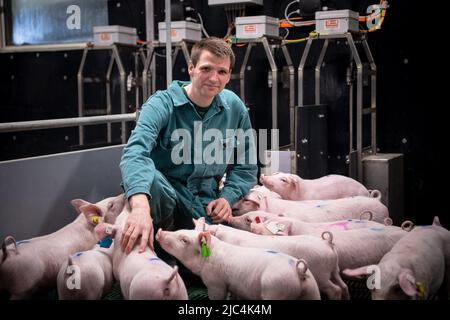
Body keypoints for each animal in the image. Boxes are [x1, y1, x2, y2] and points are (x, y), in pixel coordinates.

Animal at [156, 228, 322, 300]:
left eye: (184, 240)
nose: (160, 231)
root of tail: (299, 271)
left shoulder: (216, 282)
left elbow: (217, 296)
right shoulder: (234, 285)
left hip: (277, 289)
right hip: (312, 291)